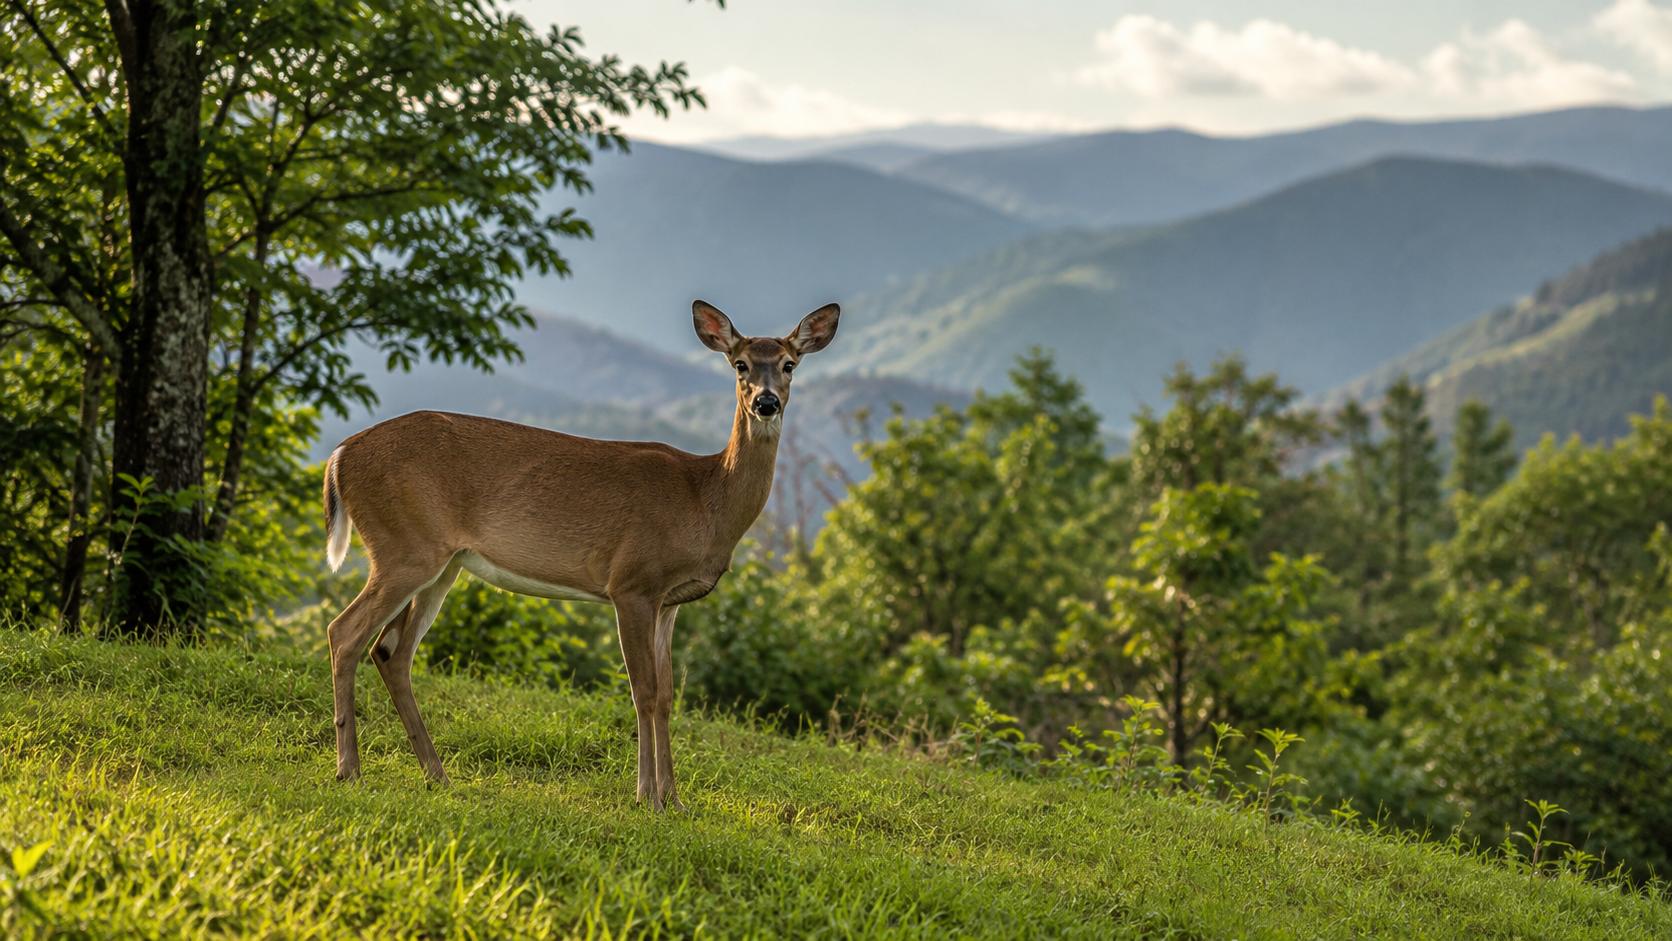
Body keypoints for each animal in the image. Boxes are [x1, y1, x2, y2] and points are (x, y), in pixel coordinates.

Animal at [319, 300, 839, 811]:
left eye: (790, 364)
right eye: (740, 364)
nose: (765, 402)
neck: (705, 499)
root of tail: (339, 455)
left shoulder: (669, 601)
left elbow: (669, 695)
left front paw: (675, 800)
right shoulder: (632, 582)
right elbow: (644, 691)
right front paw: (646, 797)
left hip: (442, 563)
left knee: (391, 652)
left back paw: (436, 775)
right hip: (404, 546)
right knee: (345, 632)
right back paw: (349, 769)